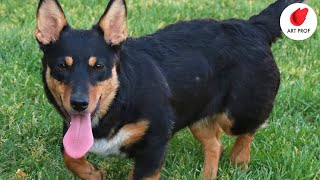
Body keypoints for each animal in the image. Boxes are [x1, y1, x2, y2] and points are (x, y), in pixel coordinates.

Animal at [34, 0, 304, 179]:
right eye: (62, 66)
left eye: (98, 66)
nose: (79, 104)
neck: (119, 100)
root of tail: (254, 27)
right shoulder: (71, 135)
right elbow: (70, 156)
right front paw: (93, 173)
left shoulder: (154, 147)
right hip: (196, 112)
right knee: (215, 144)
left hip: (238, 113)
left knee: (247, 132)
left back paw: (239, 160)